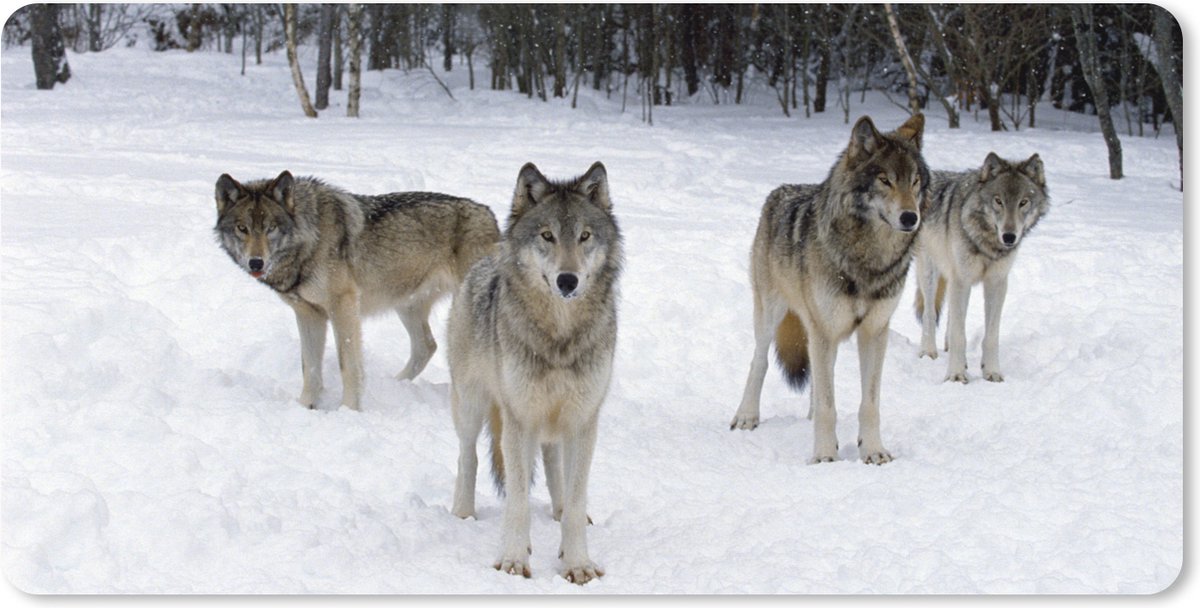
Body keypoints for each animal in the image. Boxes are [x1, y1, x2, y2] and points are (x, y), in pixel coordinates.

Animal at [213, 171, 500, 411]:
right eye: (242, 228)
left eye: (270, 228)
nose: (256, 263)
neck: (310, 239)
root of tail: (490, 215)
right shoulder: (308, 314)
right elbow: (310, 368)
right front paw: (305, 407)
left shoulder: (343, 306)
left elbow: (348, 366)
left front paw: (349, 410)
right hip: (407, 305)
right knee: (426, 346)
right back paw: (396, 385)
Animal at [447, 161, 622, 585]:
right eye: (547, 236)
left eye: (584, 236)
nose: (567, 280)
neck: (559, 336)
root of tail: (485, 259)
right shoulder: (519, 419)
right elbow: (518, 501)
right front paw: (513, 560)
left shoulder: (583, 420)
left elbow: (575, 500)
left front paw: (577, 563)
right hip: (472, 405)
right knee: (468, 456)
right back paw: (463, 514)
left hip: (554, 421)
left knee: (554, 464)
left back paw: (557, 512)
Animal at [729, 115, 929, 465]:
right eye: (885, 181)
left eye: (915, 181)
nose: (910, 217)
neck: (868, 261)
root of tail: (779, 191)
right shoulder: (824, 329)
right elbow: (827, 405)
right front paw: (824, 456)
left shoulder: (874, 331)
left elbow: (868, 404)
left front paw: (873, 451)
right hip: (773, 315)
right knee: (760, 362)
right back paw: (746, 416)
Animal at [913, 152, 1048, 383]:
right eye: (998, 201)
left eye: (1023, 202)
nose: (1009, 236)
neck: (988, 244)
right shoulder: (962, 279)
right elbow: (960, 334)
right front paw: (956, 374)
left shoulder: (996, 283)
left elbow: (991, 335)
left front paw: (991, 371)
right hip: (930, 273)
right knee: (930, 314)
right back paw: (928, 352)